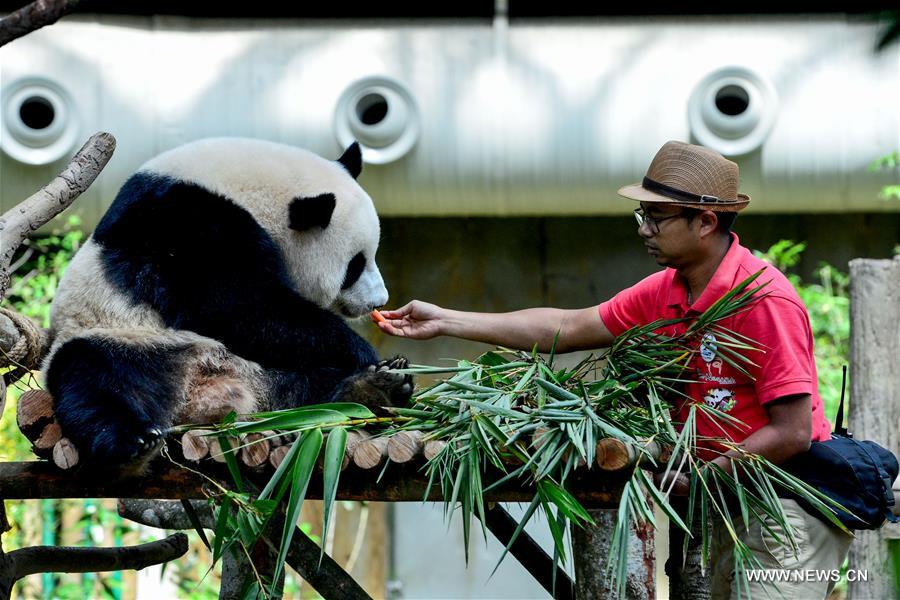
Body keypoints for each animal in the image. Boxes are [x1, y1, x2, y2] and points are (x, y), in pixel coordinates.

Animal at [39, 139, 412, 468]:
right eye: (355, 265)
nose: (379, 300)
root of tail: (200, 392)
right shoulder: (185, 223)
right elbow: (240, 308)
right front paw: (362, 349)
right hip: (120, 338)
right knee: (94, 381)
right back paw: (132, 441)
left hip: (263, 373)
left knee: (307, 390)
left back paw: (374, 390)